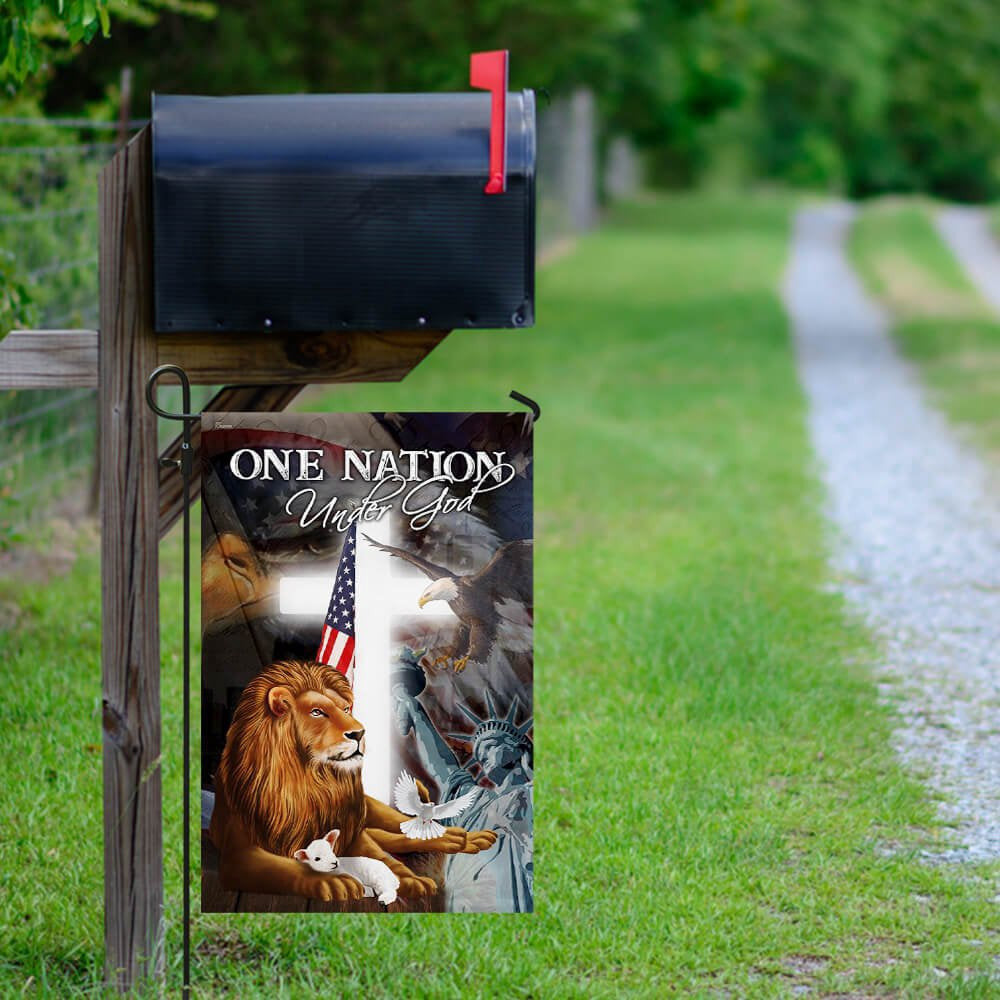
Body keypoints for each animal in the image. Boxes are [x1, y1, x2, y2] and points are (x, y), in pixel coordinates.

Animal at [209, 659, 496, 903]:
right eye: (317, 712)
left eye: (346, 708)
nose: (359, 732)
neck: (310, 781)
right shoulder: (239, 855)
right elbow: (286, 868)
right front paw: (334, 882)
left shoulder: (353, 833)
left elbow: (385, 859)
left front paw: (408, 879)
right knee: (394, 837)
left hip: (372, 811)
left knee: (404, 829)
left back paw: (465, 838)